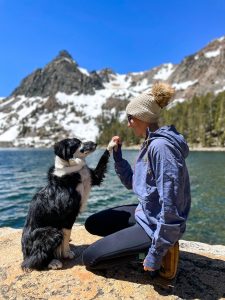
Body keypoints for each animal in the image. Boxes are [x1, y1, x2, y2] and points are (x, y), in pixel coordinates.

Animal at [21, 137, 113, 270]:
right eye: (77, 143)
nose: (95, 143)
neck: (73, 169)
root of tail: (25, 253)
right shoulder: (68, 216)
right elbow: (66, 235)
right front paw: (66, 253)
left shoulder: (94, 177)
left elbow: (103, 160)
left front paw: (112, 143)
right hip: (52, 232)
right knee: (33, 259)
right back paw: (52, 262)